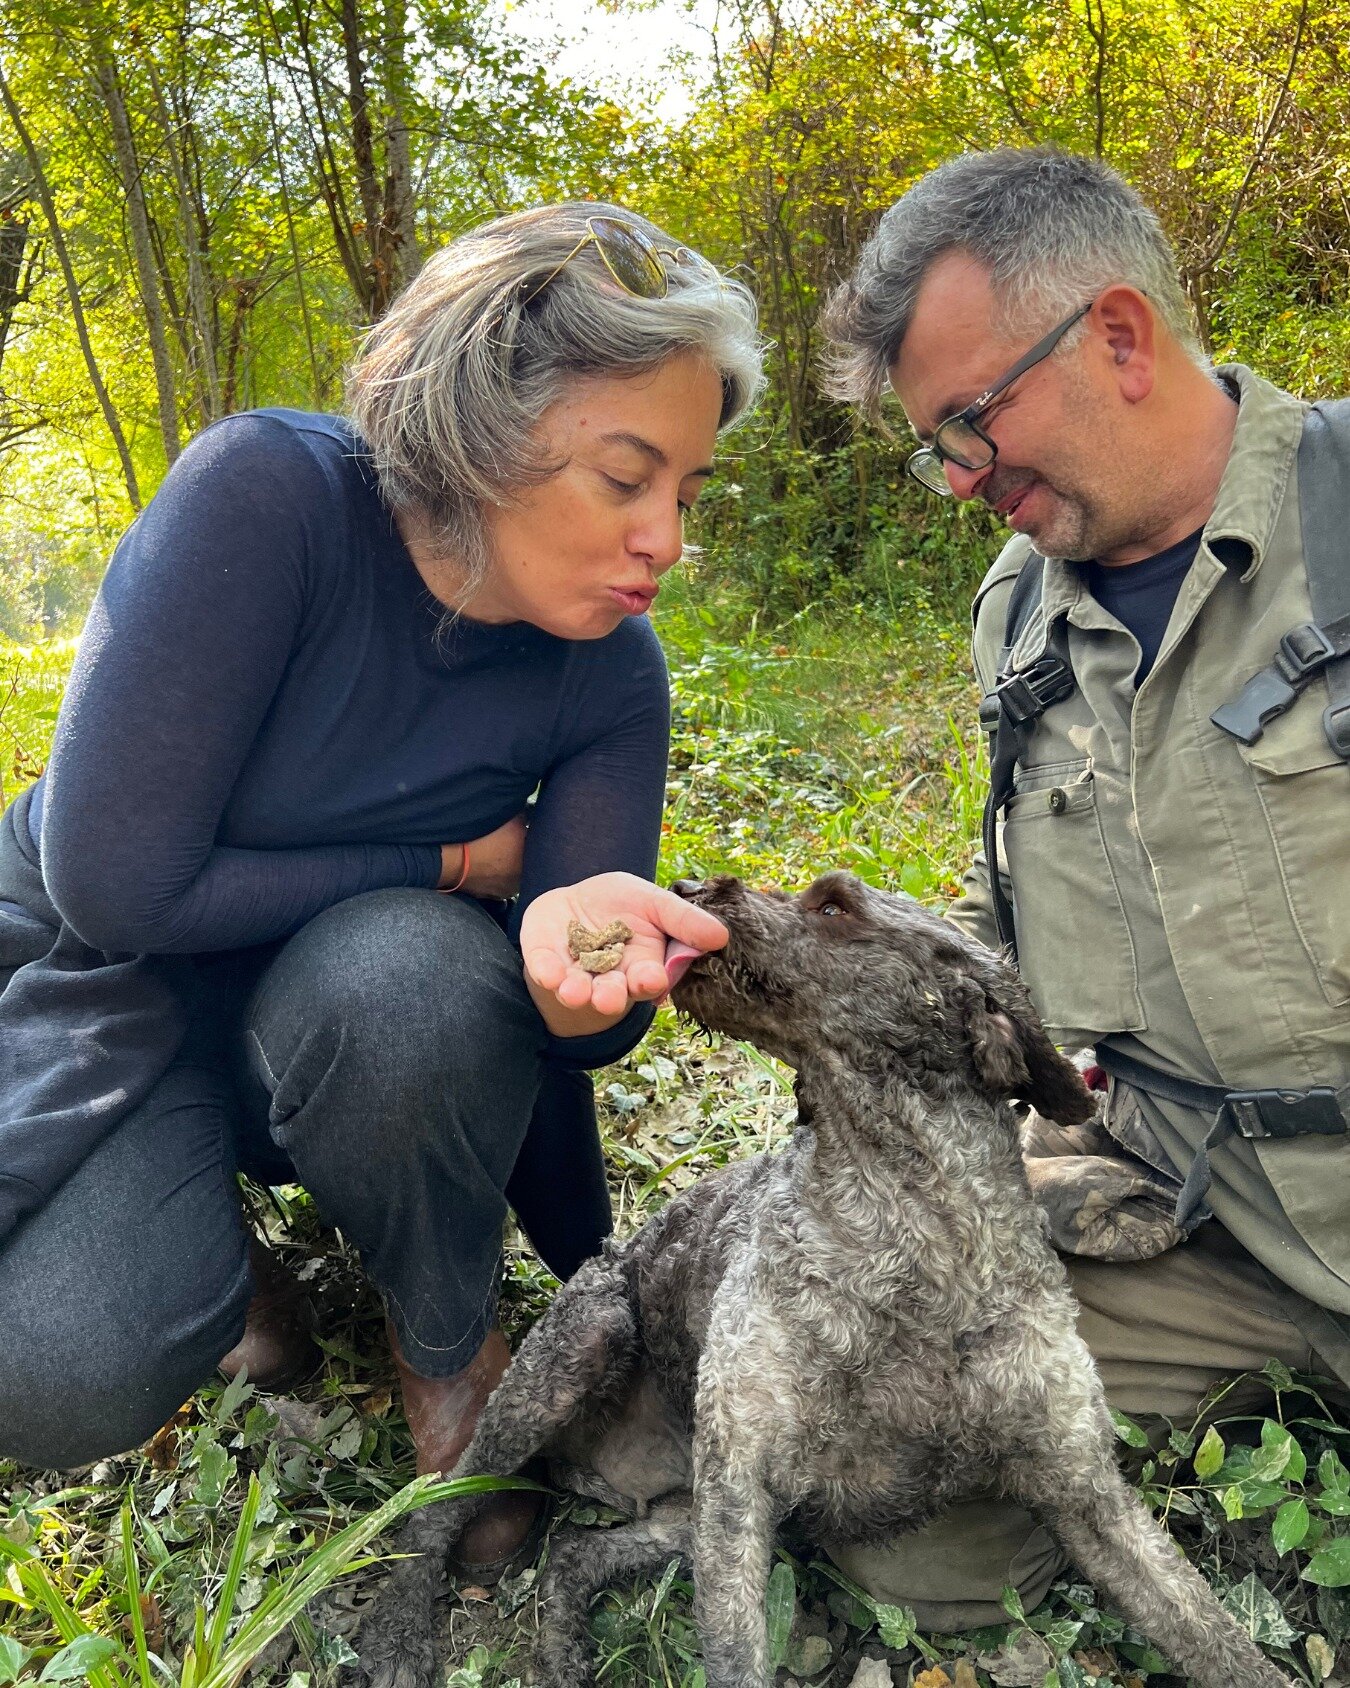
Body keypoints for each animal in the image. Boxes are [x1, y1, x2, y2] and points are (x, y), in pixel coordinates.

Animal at [352, 871, 1289, 1688]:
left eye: (835, 905)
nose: (685, 889)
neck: (914, 1235)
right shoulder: (741, 1486)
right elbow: (735, 1661)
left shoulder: (1084, 1491)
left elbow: (1214, 1636)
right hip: (579, 1357)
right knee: (440, 1501)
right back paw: (397, 1630)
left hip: (684, 1515)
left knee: (574, 1555)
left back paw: (561, 1656)